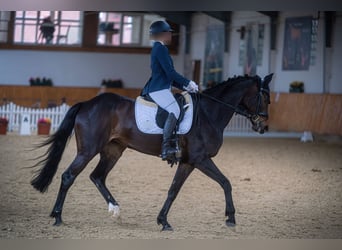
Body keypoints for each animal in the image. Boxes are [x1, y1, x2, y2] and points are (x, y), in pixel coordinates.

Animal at [31, 73, 272, 231]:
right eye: (266, 98)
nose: (263, 127)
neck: (208, 113)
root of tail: (87, 103)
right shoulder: (201, 159)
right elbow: (225, 182)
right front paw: (230, 218)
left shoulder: (188, 162)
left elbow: (173, 190)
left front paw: (163, 221)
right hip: (89, 150)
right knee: (68, 176)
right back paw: (58, 216)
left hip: (113, 150)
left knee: (97, 176)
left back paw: (115, 209)